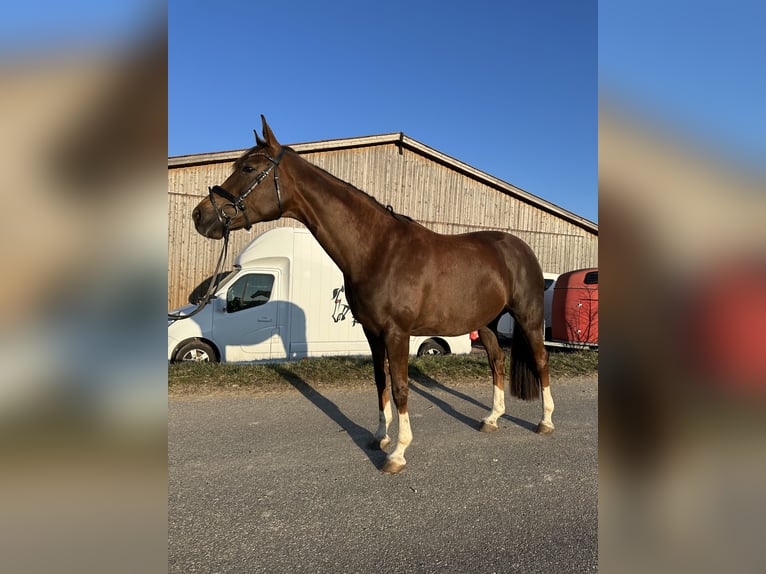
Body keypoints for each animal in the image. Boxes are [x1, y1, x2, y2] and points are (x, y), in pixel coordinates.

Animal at [192, 116, 554, 474]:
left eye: (249, 168)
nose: (200, 215)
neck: (379, 250)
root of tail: (520, 248)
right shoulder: (372, 332)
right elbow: (381, 382)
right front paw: (380, 437)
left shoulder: (397, 333)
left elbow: (400, 387)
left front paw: (397, 453)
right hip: (489, 323)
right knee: (497, 362)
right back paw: (491, 419)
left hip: (528, 317)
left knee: (540, 361)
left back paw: (545, 422)